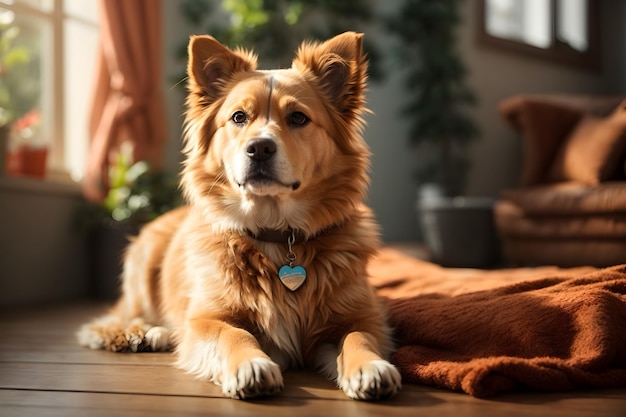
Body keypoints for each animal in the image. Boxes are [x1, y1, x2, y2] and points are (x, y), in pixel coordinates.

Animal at [77, 31, 400, 400]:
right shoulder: (207, 317)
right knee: (113, 321)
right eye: (238, 117)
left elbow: (359, 336)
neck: (278, 233)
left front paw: (370, 366)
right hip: (142, 271)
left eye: (298, 118)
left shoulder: (364, 317)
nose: (259, 148)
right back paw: (143, 333)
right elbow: (234, 333)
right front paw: (251, 364)